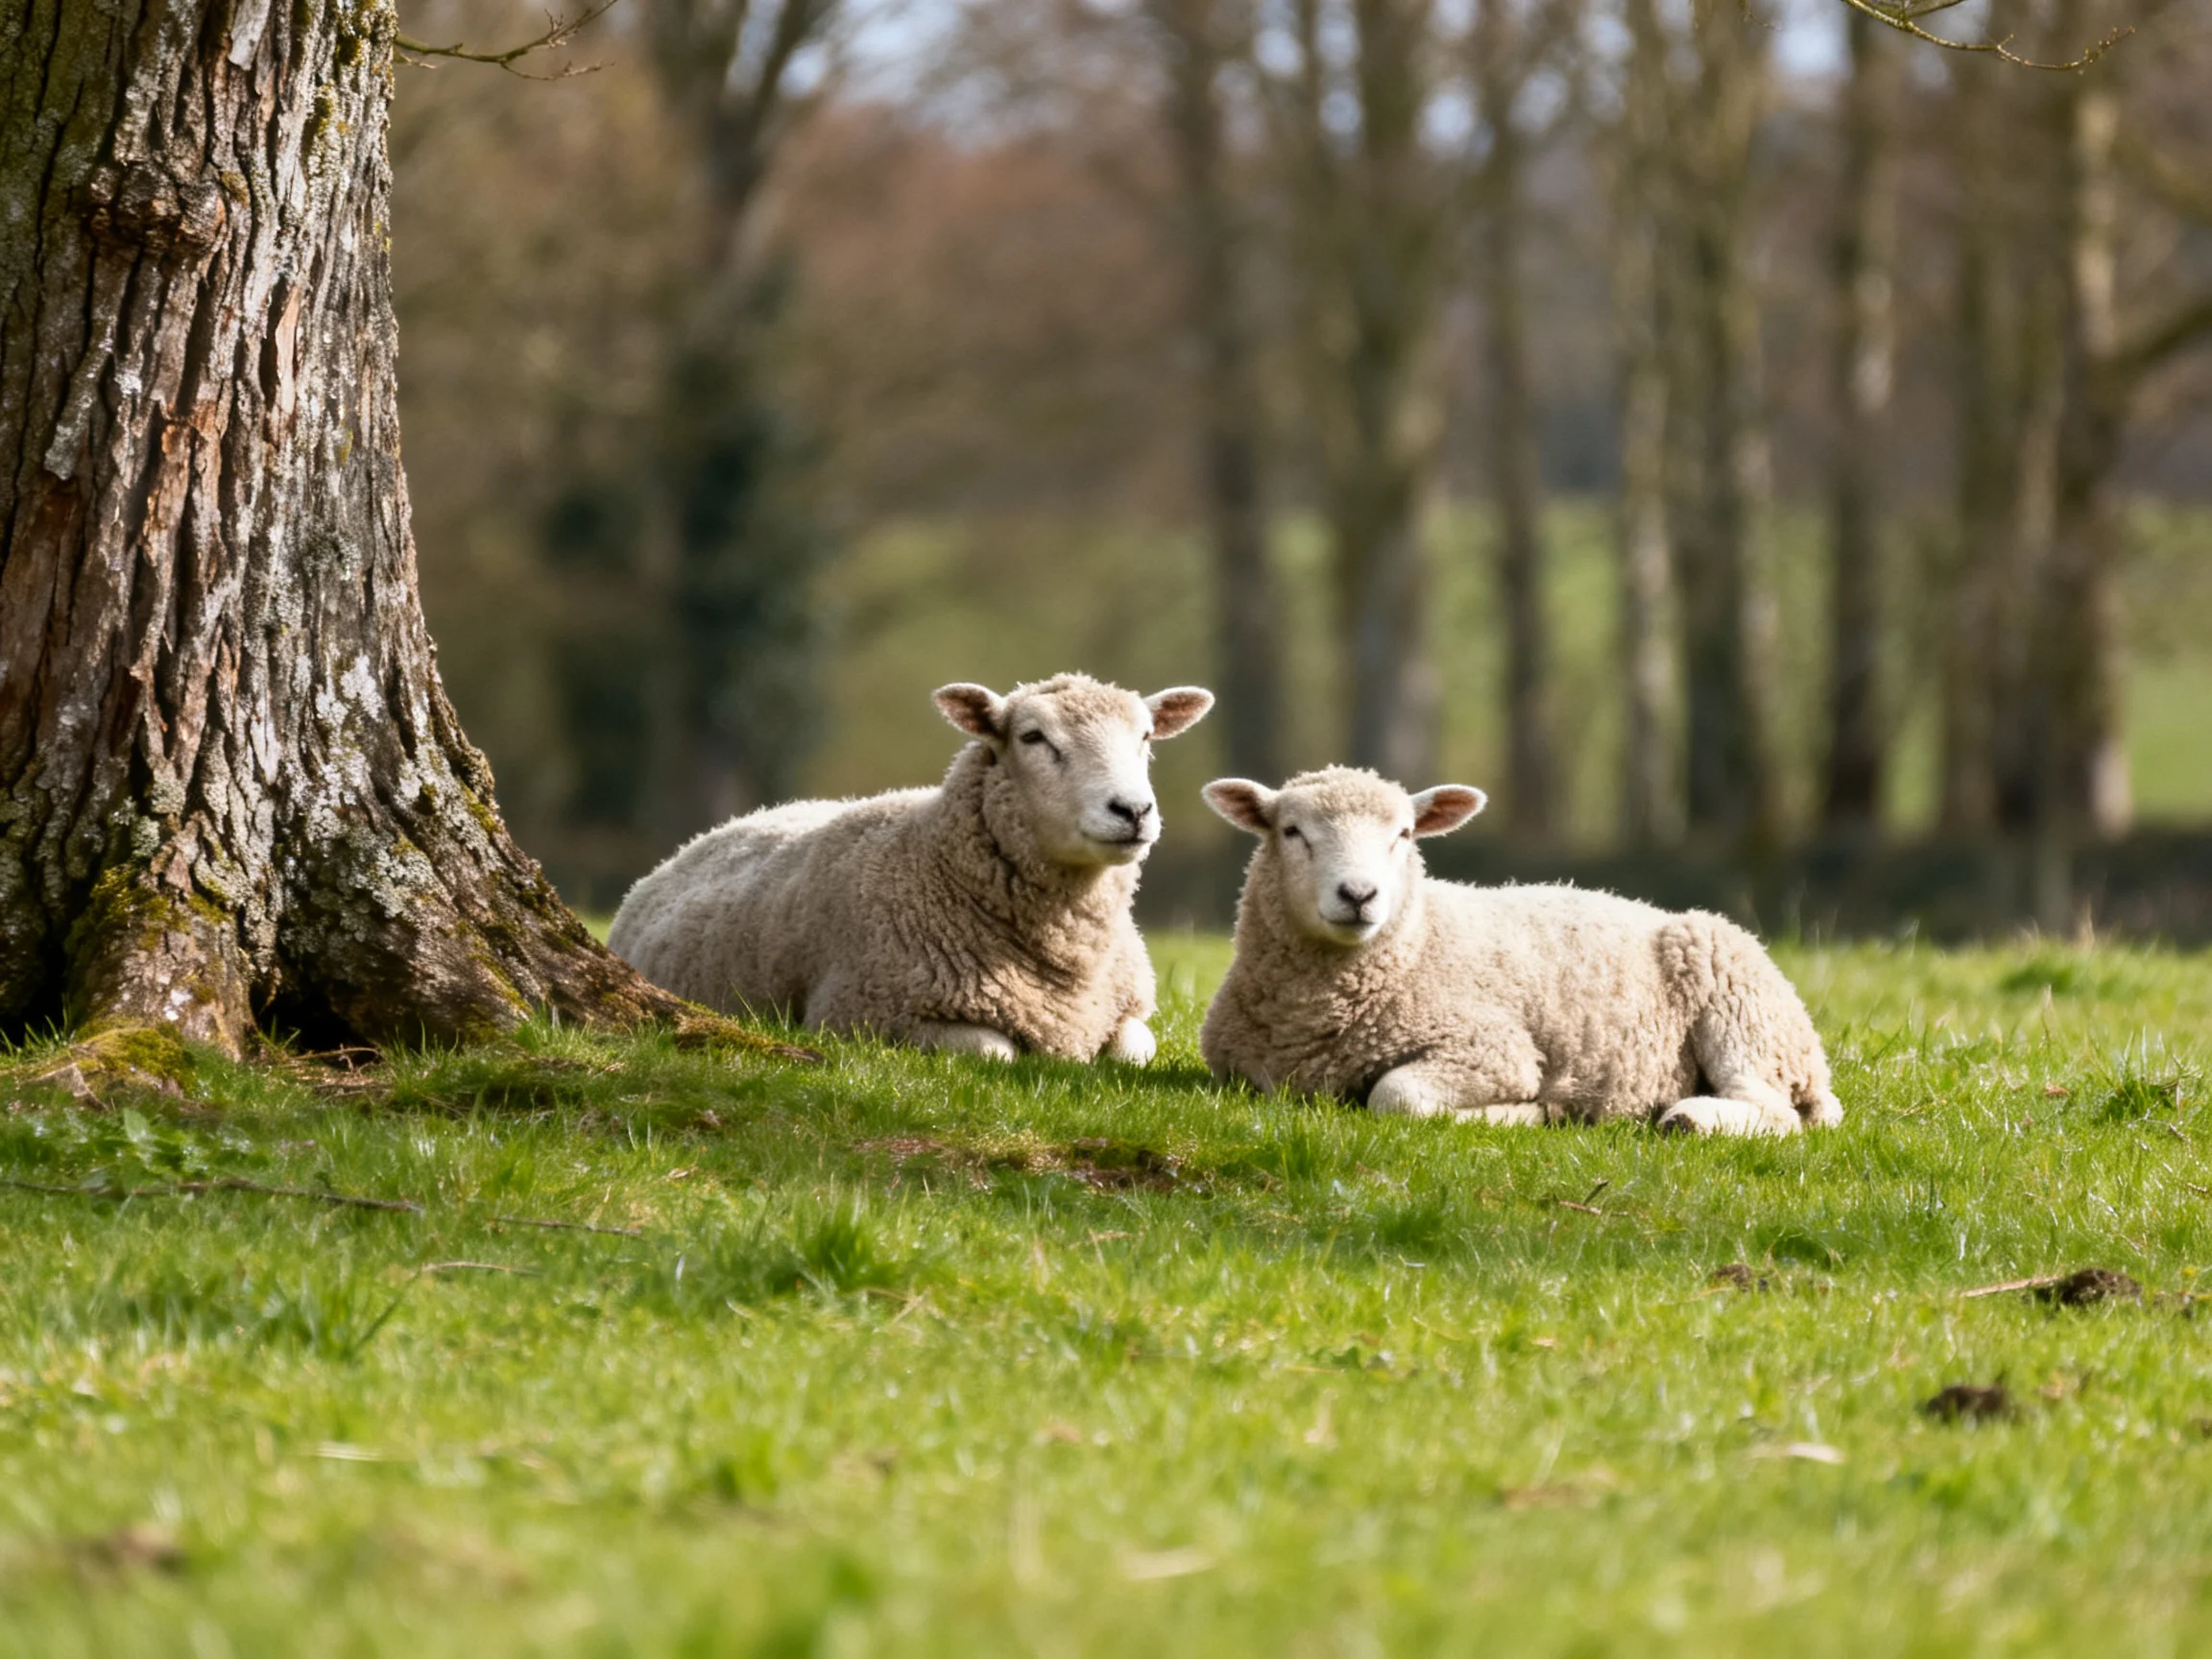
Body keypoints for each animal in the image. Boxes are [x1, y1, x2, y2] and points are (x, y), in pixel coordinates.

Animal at [608, 674, 1213, 1062]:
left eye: (1145, 737)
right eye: (1033, 737)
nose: (1132, 810)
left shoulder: (1125, 1011)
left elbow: (1135, 1051)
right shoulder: (862, 1016)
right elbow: (996, 1053)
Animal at [1197, 767, 1843, 1136]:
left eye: (1404, 834)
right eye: (1292, 832)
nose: (1359, 895)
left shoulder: (1493, 1050)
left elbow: (1396, 1097)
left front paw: (1529, 1114)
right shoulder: (1243, 1074)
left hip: (1741, 1004)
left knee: (1774, 1111)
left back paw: (1690, 1119)